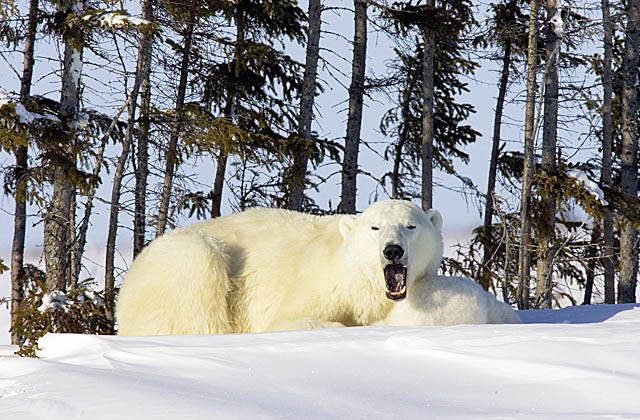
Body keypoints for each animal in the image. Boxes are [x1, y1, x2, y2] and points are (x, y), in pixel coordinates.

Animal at [116, 199, 444, 334]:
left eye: (411, 225)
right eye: (375, 228)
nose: (392, 250)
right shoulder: (318, 280)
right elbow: (289, 319)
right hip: (183, 262)